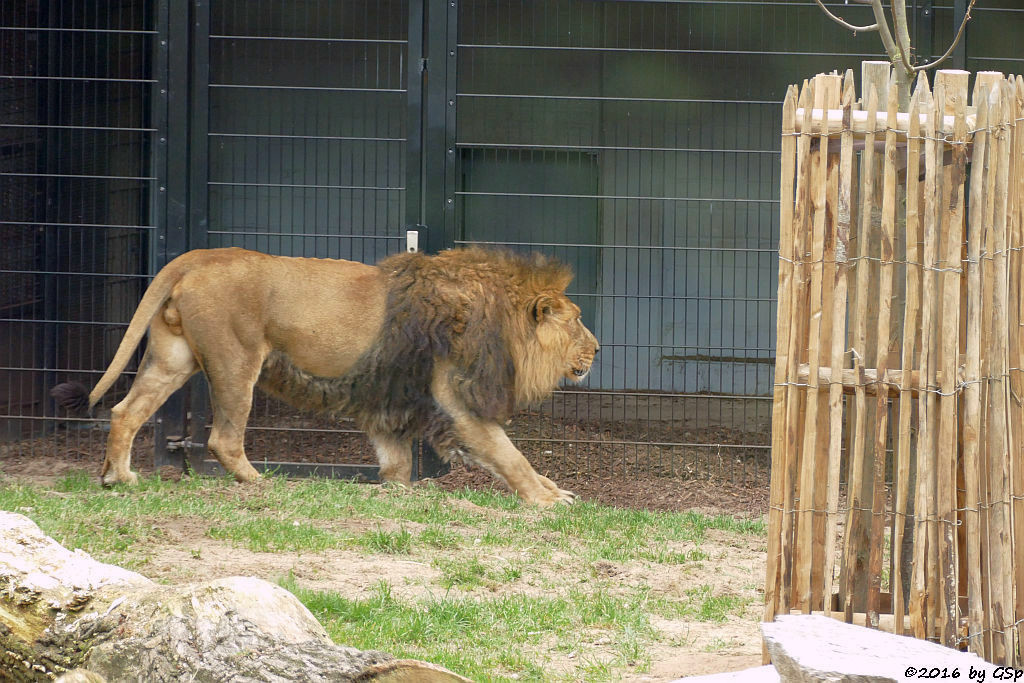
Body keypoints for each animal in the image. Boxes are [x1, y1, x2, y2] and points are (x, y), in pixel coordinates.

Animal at [51, 246, 598, 507]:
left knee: (125, 411)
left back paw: (119, 477)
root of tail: (198, 257)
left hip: (174, 359)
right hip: (235, 360)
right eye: (575, 320)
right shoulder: (457, 397)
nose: (597, 348)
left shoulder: (391, 399)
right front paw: (548, 499)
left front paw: (398, 493)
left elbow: (397, 461)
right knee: (223, 438)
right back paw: (260, 483)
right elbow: (509, 455)